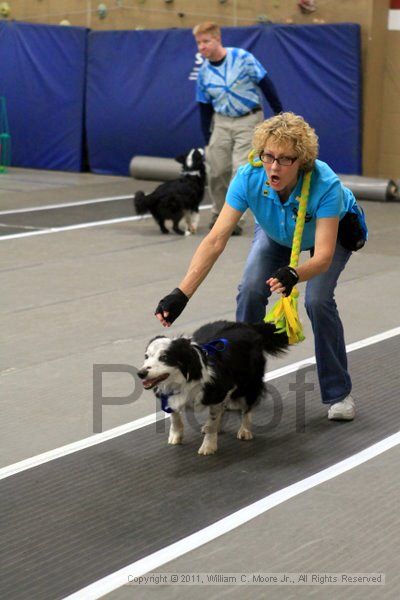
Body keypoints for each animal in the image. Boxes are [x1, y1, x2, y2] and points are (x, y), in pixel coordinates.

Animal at [138, 318, 288, 454]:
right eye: (146, 356)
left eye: (164, 357)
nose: (141, 373)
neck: (185, 379)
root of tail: (248, 326)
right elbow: (175, 417)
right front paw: (176, 436)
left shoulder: (218, 393)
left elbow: (212, 422)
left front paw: (208, 447)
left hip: (248, 384)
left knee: (247, 408)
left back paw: (245, 430)